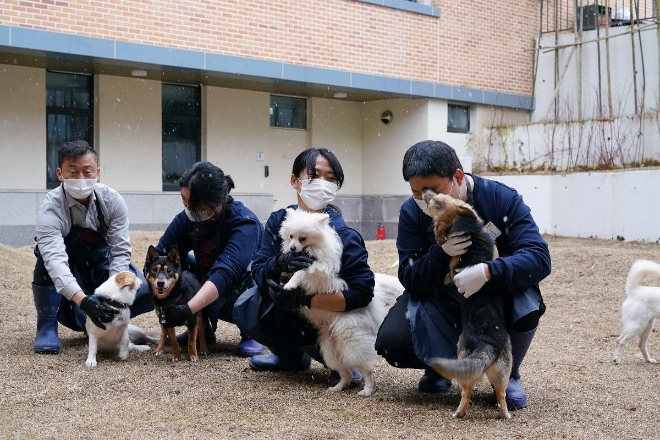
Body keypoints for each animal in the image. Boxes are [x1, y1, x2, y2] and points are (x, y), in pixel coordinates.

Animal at [278, 208, 402, 398]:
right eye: (291, 236)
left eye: (303, 238)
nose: (292, 248)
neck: (312, 249)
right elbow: (290, 269)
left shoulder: (319, 270)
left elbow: (302, 272)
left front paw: (290, 285)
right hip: (331, 351)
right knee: (346, 373)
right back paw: (337, 387)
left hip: (350, 345)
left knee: (367, 372)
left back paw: (367, 390)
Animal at [422, 190, 510, 420]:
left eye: (436, 201)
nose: (425, 192)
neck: (471, 230)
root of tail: (487, 341)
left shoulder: (453, 267)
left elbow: (451, 270)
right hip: (502, 373)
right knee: (501, 395)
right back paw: (504, 414)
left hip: (462, 357)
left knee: (466, 392)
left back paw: (458, 413)